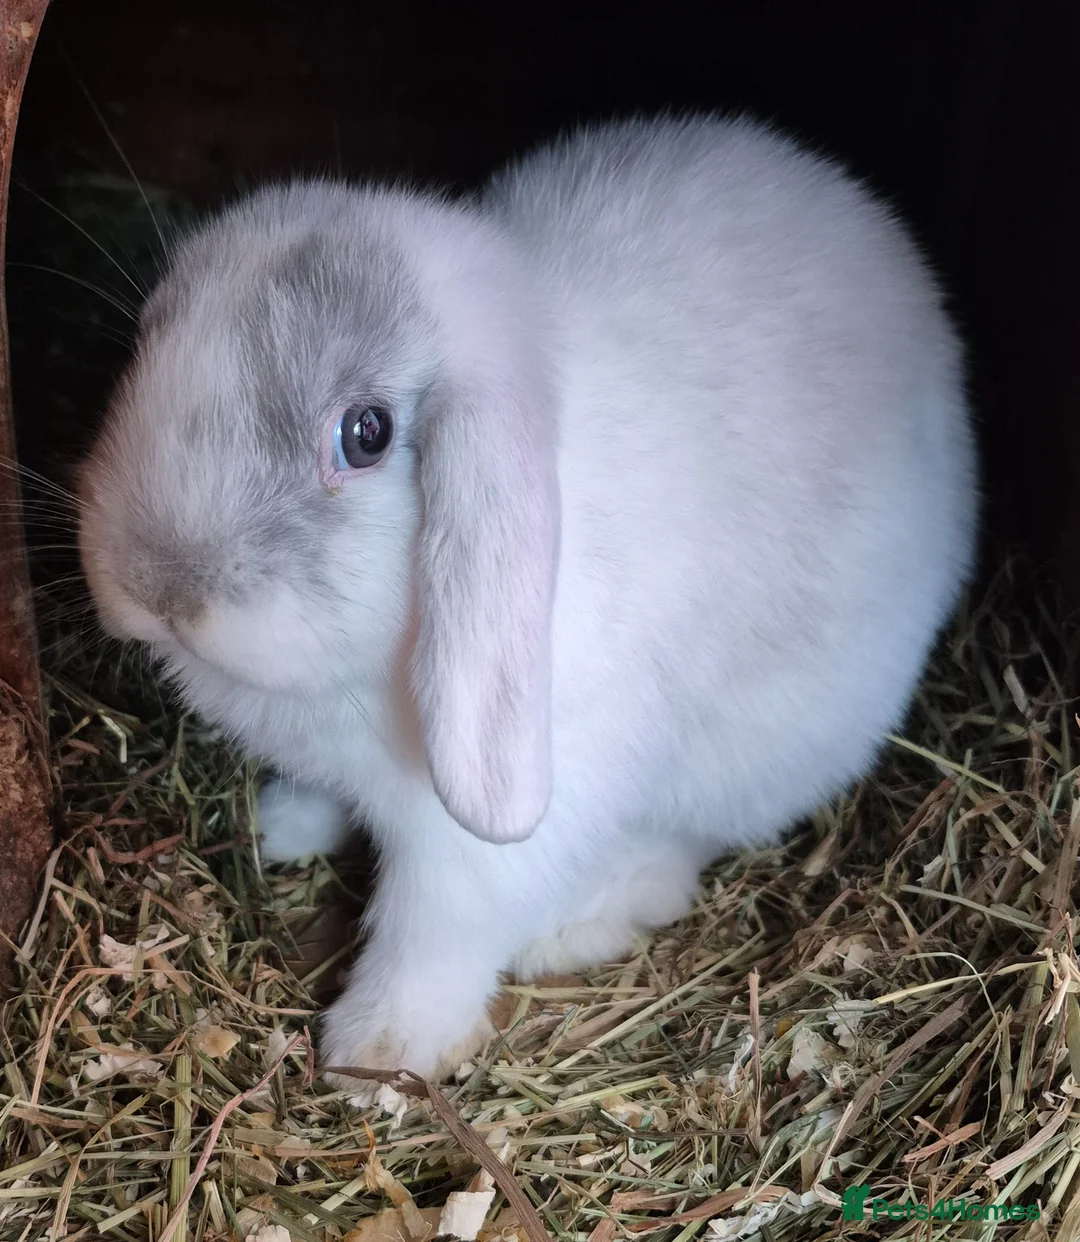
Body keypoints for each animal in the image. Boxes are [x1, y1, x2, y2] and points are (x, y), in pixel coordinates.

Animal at [78, 113, 977, 1088]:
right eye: (145, 340)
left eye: (367, 434)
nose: (159, 585)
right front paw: (285, 824)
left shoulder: (486, 841)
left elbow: (435, 934)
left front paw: (376, 1053)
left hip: (771, 745)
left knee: (683, 846)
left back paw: (582, 922)